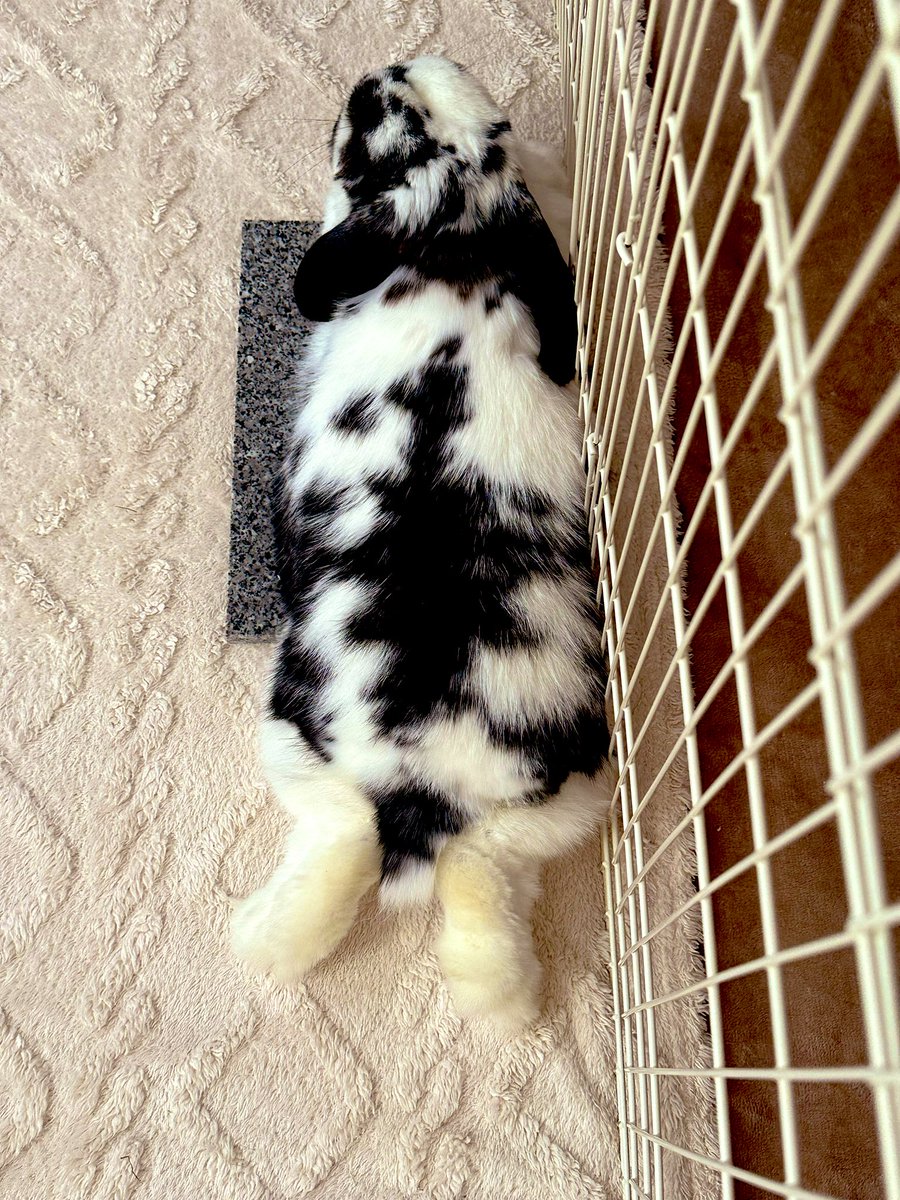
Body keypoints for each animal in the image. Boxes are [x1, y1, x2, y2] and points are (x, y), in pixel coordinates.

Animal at [230, 55, 614, 1031]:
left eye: (377, 114)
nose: (378, 68)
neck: (454, 245)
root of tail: (425, 788)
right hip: (556, 803)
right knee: (483, 878)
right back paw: (501, 1002)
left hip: (294, 743)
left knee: (341, 847)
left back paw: (256, 943)